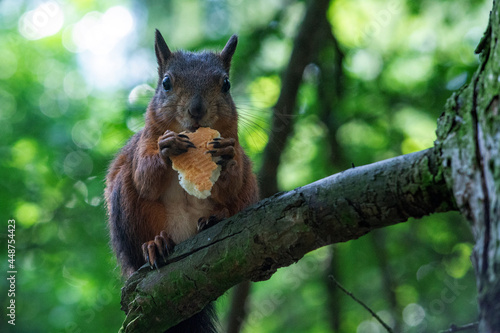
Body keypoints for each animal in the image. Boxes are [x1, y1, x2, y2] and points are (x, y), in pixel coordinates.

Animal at [104, 29, 260, 330]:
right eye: (166, 83)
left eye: (226, 84)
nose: (196, 109)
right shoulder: (142, 147)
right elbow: (145, 178)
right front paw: (168, 147)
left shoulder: (237, 153)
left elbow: (231, 184)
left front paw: (225, 155)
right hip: (127, 209)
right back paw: (155, 244)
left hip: (249, 190)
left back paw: (215, 219)